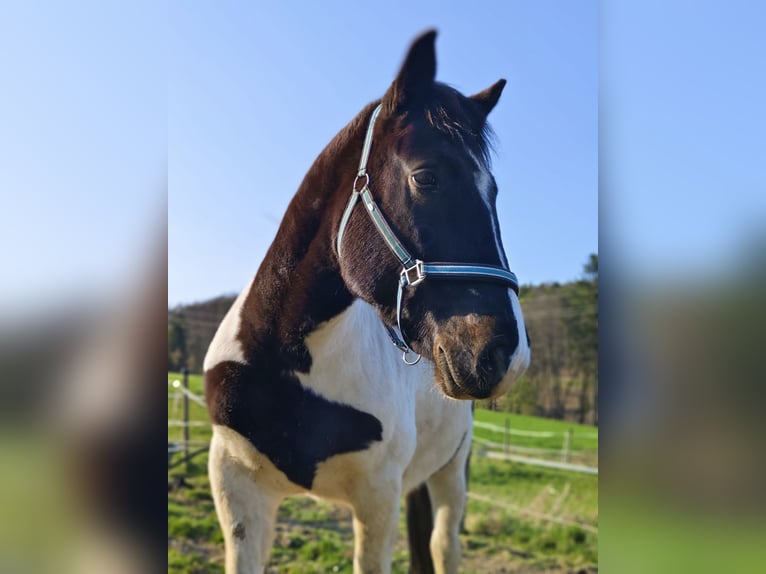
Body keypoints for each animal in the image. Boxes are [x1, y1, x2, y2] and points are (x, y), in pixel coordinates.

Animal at [203, 30, 530, 574]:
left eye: (494, 192)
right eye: (426, 177)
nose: (506, 355)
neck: (287, 360)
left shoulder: (379, 498)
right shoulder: (236, 487)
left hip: (450, 474)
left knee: (443, 544)